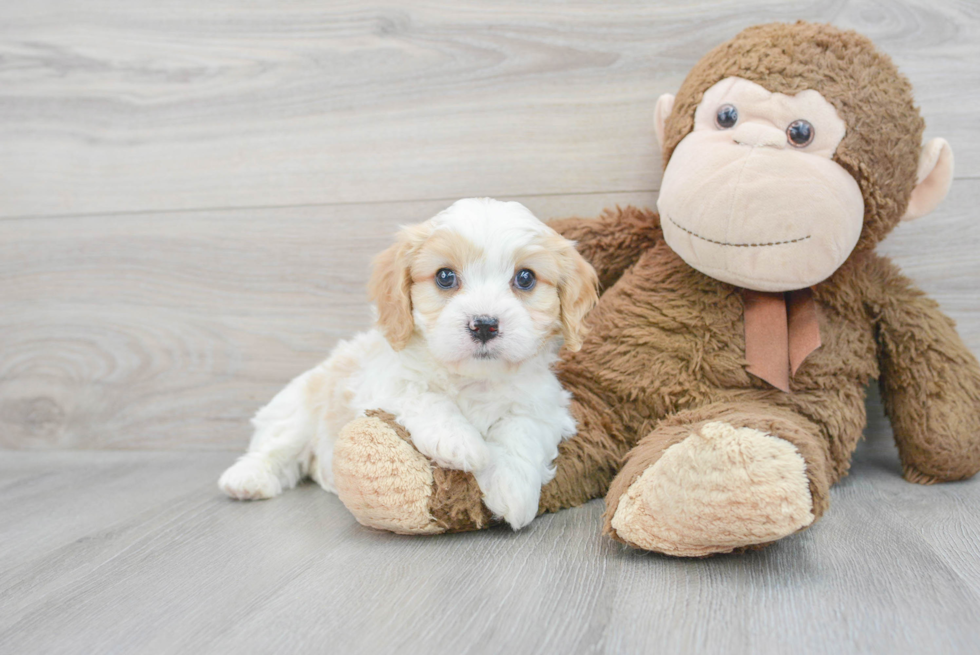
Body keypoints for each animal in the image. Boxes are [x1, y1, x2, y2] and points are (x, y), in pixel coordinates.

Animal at [218, 197, 596, 532]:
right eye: (445, 277)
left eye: (525, 278)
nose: (485, 324)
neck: (472, 378)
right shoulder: (386, 382)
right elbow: (423, 395)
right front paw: (460, 442)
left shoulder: (544, 405)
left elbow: (521, 432)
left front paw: (512, 489)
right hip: (296, 411)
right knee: (274, 447)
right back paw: (247, 479)